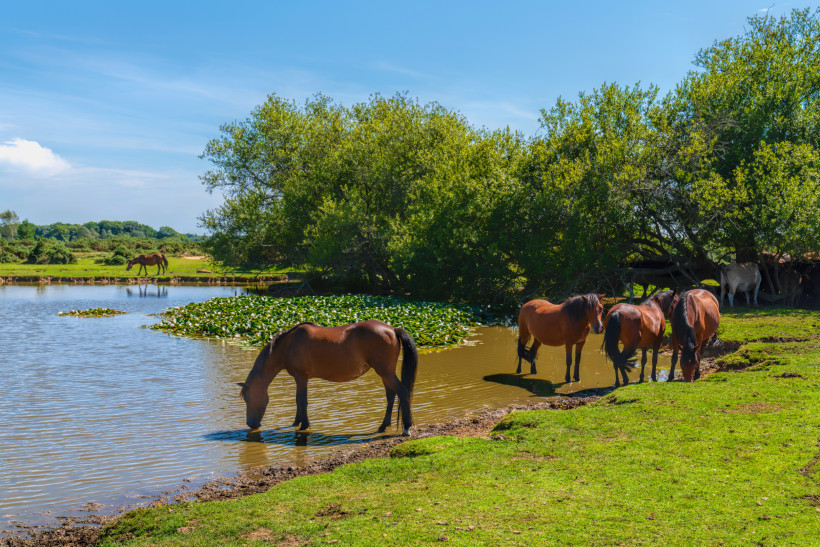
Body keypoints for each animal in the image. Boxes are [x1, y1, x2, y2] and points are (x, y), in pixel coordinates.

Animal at [238, 320, 418, 436]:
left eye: (247, 398)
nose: (251, 424)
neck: (288, 345)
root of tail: (393, 329)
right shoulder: (299, 378)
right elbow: (298, 401)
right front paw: (296, 422)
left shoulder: (301, 377)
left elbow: (302, 400)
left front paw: (304, 425)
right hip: (384, 373)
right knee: (391, 395)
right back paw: (383, 426)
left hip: (385, 372)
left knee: (402, 392)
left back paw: (406, 428)